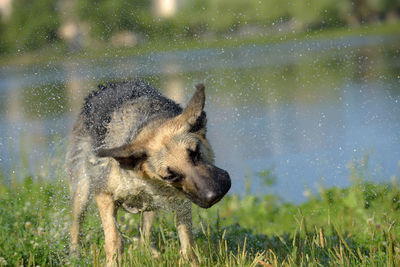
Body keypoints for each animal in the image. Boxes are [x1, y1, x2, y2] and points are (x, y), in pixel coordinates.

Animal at [64, 80, 230, 266]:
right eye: (170, 175)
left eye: (194, 153)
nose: (214, 194)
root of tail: (105, 86)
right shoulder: (104, 194)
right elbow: (114, 237)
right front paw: (113, 260)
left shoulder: (180, 202)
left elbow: (187, 241)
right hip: (82, 190)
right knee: (76, 225)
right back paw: (74, 255)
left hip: (151, 206)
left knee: (144, 234)